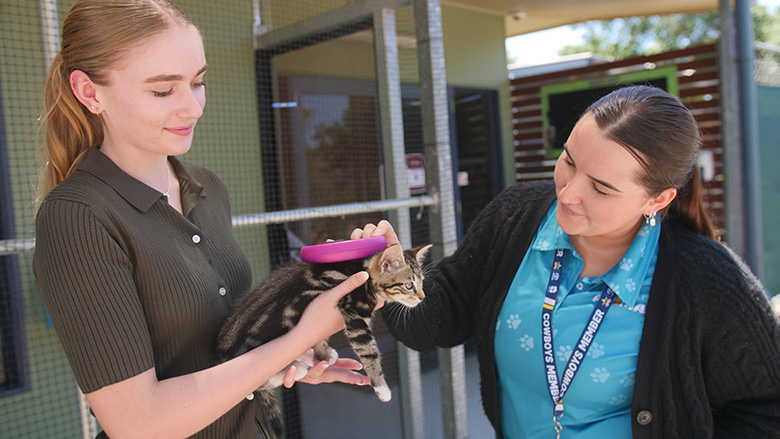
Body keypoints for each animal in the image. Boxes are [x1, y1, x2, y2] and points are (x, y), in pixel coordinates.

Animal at [216, 242, 430, 438]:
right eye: (409, 285)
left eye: (422, 282)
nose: (422, 297)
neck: (364, 275)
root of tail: (223, 353)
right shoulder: (354, 315)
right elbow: (369, 352)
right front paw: (381, 387)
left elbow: (321, 336)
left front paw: (323, 354)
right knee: (254, 383)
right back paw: (296, 368)